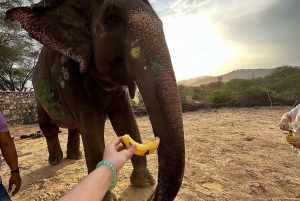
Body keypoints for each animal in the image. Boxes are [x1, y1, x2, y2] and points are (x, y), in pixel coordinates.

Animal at [5, 0, 185, 200]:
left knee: (74, 127)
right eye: (112, 18)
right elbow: (92, 127)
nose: (153, 193)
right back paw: (55, 160)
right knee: (48, 126)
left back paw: (75, 157)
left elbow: (126, 120)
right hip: (39, 96)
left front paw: (144, 183)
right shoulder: (68, 75)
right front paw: (107, 197)